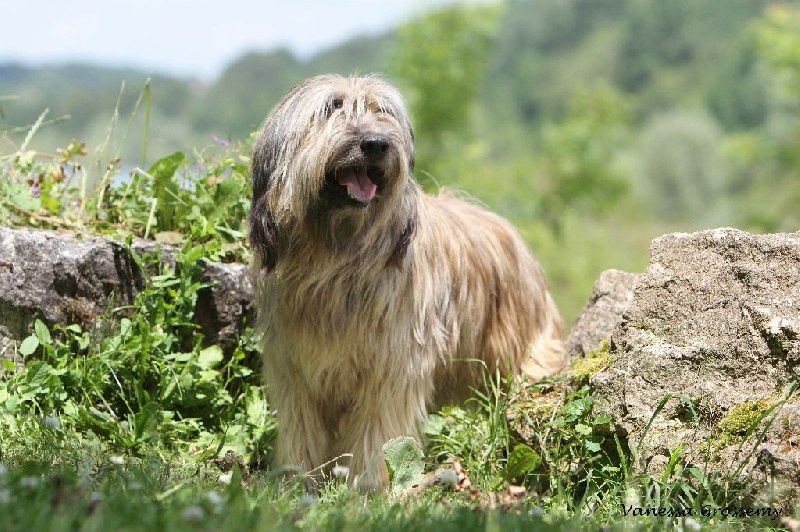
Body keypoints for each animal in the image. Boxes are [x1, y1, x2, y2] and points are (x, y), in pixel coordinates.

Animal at [248, 74, 564, 490]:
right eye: (332, 108)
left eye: (381, 110)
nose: (376, 144)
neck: (336, 261)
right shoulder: (294, 368)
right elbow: (301, 426)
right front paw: (297, 481)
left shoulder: (393, 365)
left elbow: (379, 431)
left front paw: (367, 486)